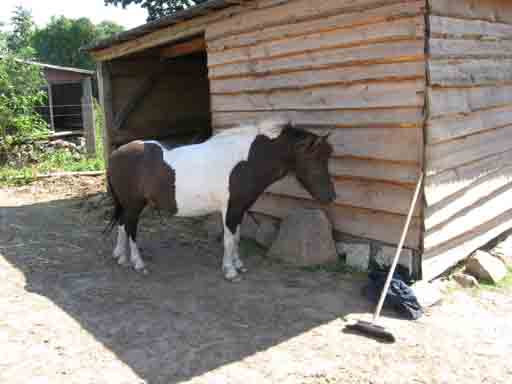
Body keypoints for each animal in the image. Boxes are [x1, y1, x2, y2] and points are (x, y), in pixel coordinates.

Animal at [105, 121, 336, 280]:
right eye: (315, 158)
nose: (331, 196)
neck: (246, 161)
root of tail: (115, 154)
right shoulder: (231, 208)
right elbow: (229, 239)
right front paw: (230, 271)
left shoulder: (240, 208)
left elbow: (237, 237)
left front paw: (238, 264)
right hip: (134, 204)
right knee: (131, 228)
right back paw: (137, 262)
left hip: (127, 204)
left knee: (122, 224)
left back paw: (120, 257)